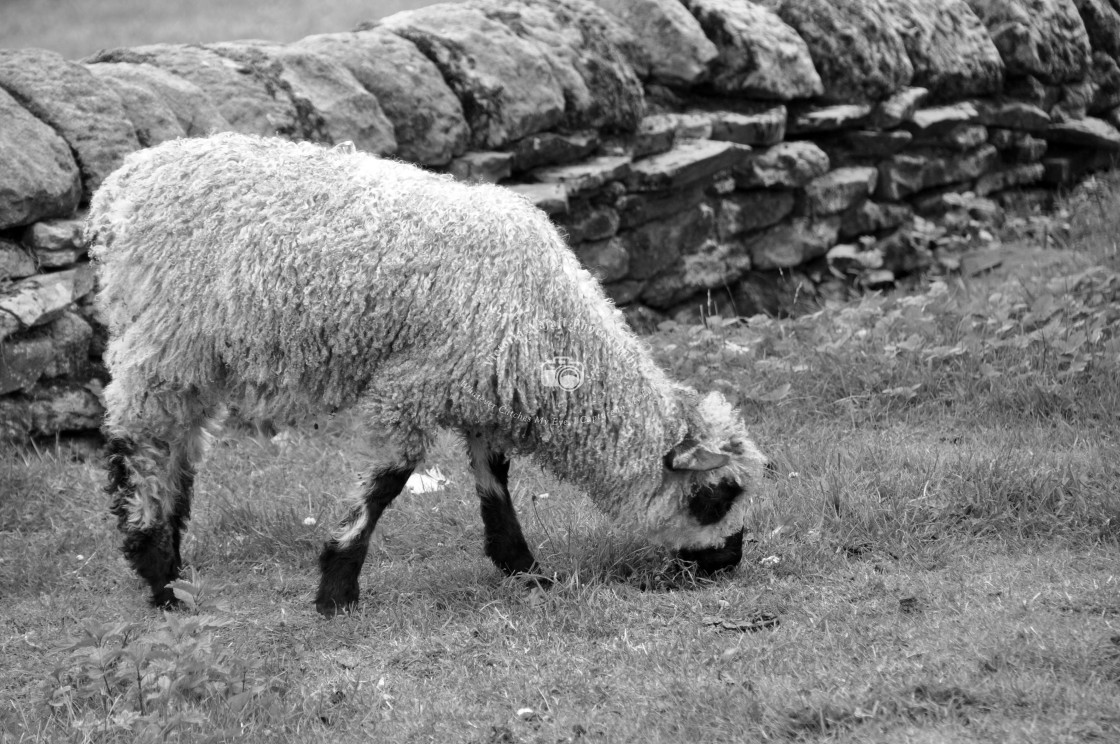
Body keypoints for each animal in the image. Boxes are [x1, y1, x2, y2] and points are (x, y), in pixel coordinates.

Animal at [89, 130, 770, 614]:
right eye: (714, 497)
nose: (730, 560)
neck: (551, 321)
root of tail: (124, 181)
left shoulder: (484, 380)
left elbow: (494, 477)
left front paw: (523, 569)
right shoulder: (415, 382)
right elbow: (387, 482)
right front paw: (337, 590)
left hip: (194, 351)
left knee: (179, 446)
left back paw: (172, 563)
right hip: (165, 333)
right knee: (140, 439)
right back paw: (156, 574)